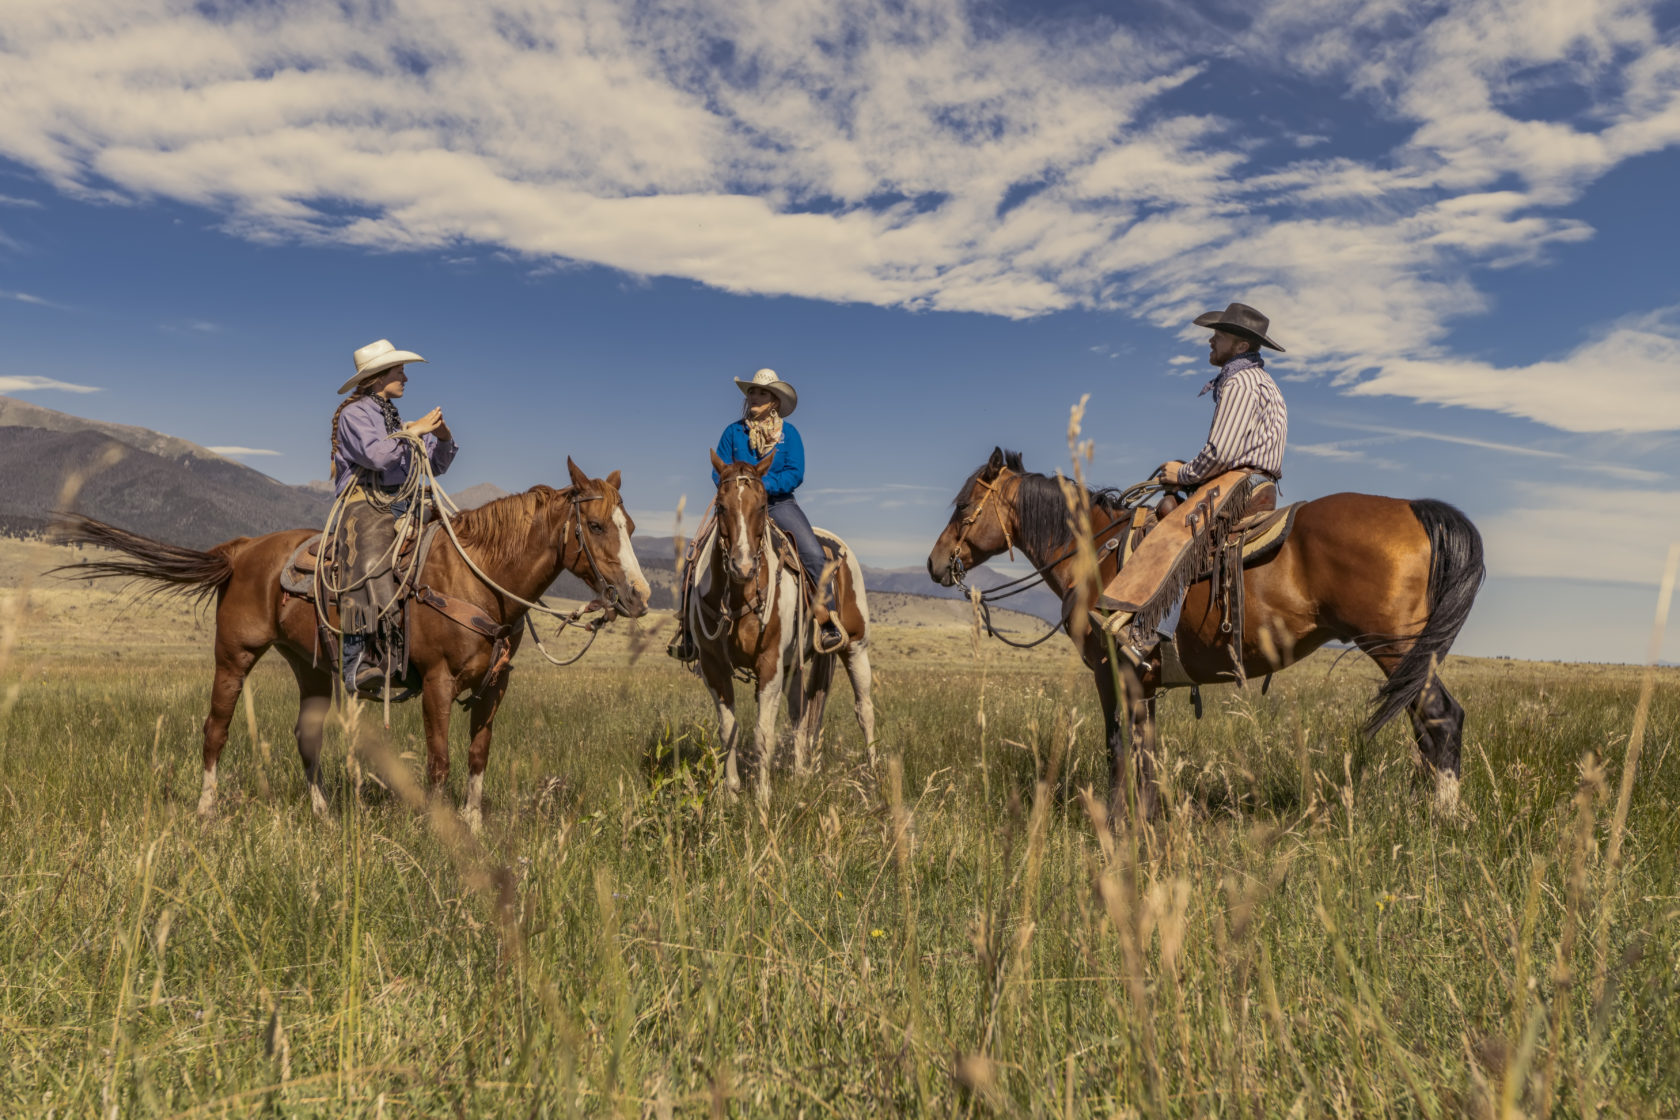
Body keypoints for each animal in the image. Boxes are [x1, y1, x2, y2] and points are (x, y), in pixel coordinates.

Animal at [54, 456, 648, 832]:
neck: (476, 576)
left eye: (633, 526)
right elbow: (439, 760)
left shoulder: (494, 685)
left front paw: (474, 826)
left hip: (312, 667)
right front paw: (439, 830)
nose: (639, 596)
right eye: (597, 526)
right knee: (215, 729)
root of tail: (243, 548)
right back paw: (206, 810)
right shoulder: (438, 682)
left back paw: (321, 813)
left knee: (306, 735)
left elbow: (478, 756)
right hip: (234, 656)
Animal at [688, 446, 880, 795]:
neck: (739, 596)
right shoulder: (713, 666)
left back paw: (874, 774)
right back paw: (801, 773)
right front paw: (732, 793)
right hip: (796, 662)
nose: (743, 566)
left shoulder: (770, 662)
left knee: (864, 710)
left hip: (856, 648)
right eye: (721, 506)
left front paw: (763, 797)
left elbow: (763, 733)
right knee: (800, 713)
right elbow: (729, 730)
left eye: (763, 505)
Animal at [934, 446, 1485, 822]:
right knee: (1423, 721)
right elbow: (1146, 747)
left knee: (1441, 717)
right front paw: (1146, 816)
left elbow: (1118, 746)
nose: (936, 564)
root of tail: (1412, 508)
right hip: (1406, 657)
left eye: (962, 506)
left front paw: (1118, 822)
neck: (1095, 555)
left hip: (1395, 647)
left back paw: (1443, 816)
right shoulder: (1144, 681)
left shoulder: (1112, 672)